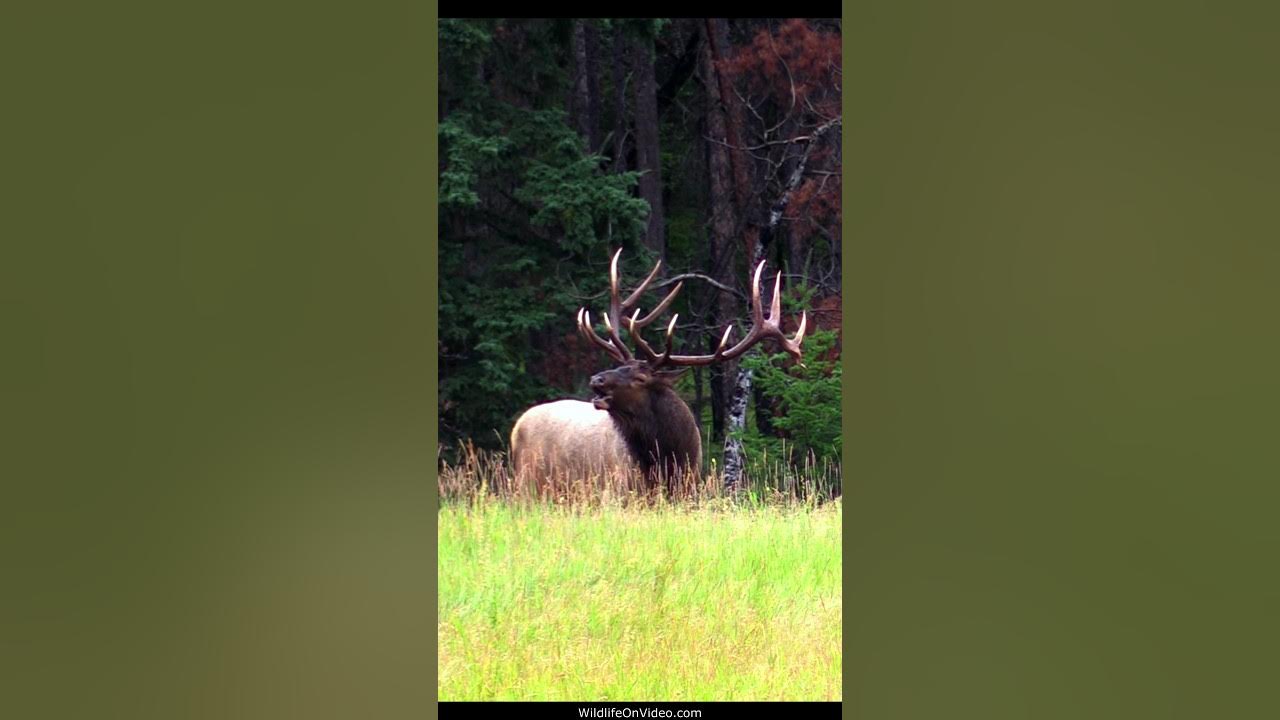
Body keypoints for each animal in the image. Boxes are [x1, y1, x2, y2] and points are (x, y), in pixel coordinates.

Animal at [508, 248, 807, 495]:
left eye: (640, 377)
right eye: (619, 366)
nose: (597, 380)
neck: (669, 463)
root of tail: (516, 427)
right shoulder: (616, 493)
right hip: (527, 487)